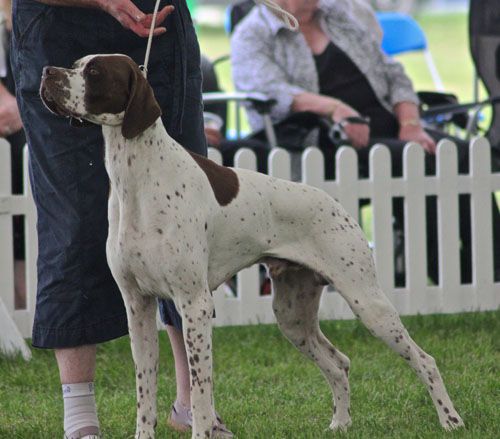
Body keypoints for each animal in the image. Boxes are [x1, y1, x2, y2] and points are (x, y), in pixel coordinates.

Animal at [40, 55, 464, 439]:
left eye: (95, 71)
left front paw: (203, 430)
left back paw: (451, 420)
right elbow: (146, 392)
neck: (137, 181)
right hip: (292, 317)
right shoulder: (138, 306)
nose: (47, 73)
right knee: (338, 362)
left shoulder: (194, 304)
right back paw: (341, 424)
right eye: (75, 64)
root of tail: (335, 203)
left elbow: (201, 392)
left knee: (425, 360)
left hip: (367, 302)